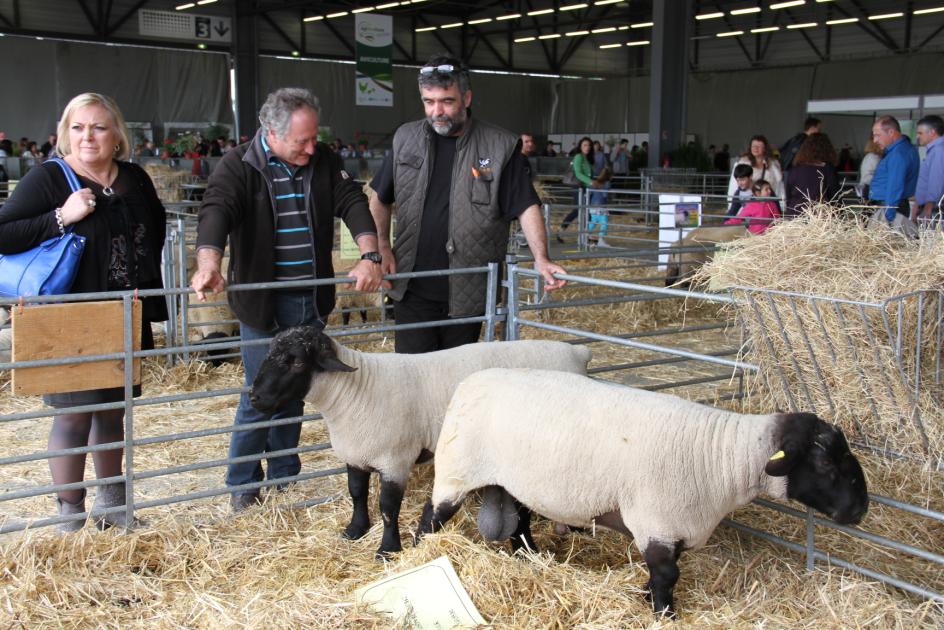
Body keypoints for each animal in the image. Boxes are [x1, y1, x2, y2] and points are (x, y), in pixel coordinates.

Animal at [249, 328, 592, 560]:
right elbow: (357, 494)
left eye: (296, 362)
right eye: (269, 353)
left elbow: (388, 508)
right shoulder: (356, 453)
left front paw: (388, 550)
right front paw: (354, 531)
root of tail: (576, 353)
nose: (255, 398)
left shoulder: (395, 460)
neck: (355, 390)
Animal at [418, 368, 872, 620]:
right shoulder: (656, 521)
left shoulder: (675, 526)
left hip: (515, 481)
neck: (722, 456)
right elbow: (668, 575)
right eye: (826, 465)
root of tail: (469, 381)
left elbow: (664, 573)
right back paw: (411, 554)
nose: (859, 510)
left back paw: (528, 557)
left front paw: (646, 596)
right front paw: (664, 614)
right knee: (431, 515)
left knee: (522, 521)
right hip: (456, 471)